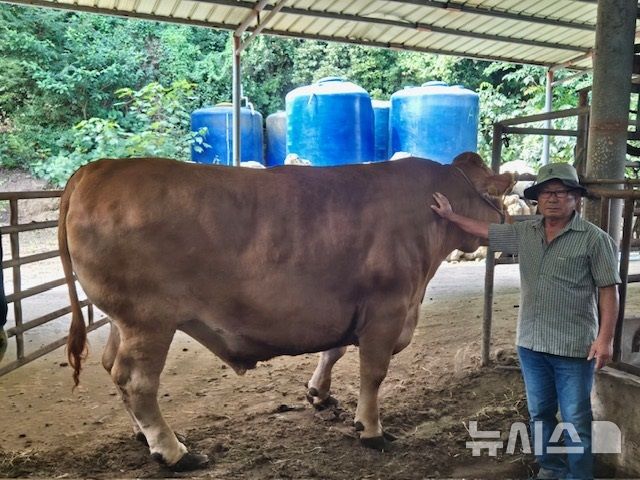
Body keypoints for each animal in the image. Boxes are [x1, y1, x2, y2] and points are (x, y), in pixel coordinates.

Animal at [60, 153, 510, 468]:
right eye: (497, 195)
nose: (503, 227)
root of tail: (99, 169)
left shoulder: (350, 307)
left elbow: (335, 348)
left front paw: (318, 394)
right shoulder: (387, 309)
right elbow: (373, 372)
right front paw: (371, 430)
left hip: (120, 319)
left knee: (111, 366)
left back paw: (143, 436)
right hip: (148, 320)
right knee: (136, 381)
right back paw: (174, 453)